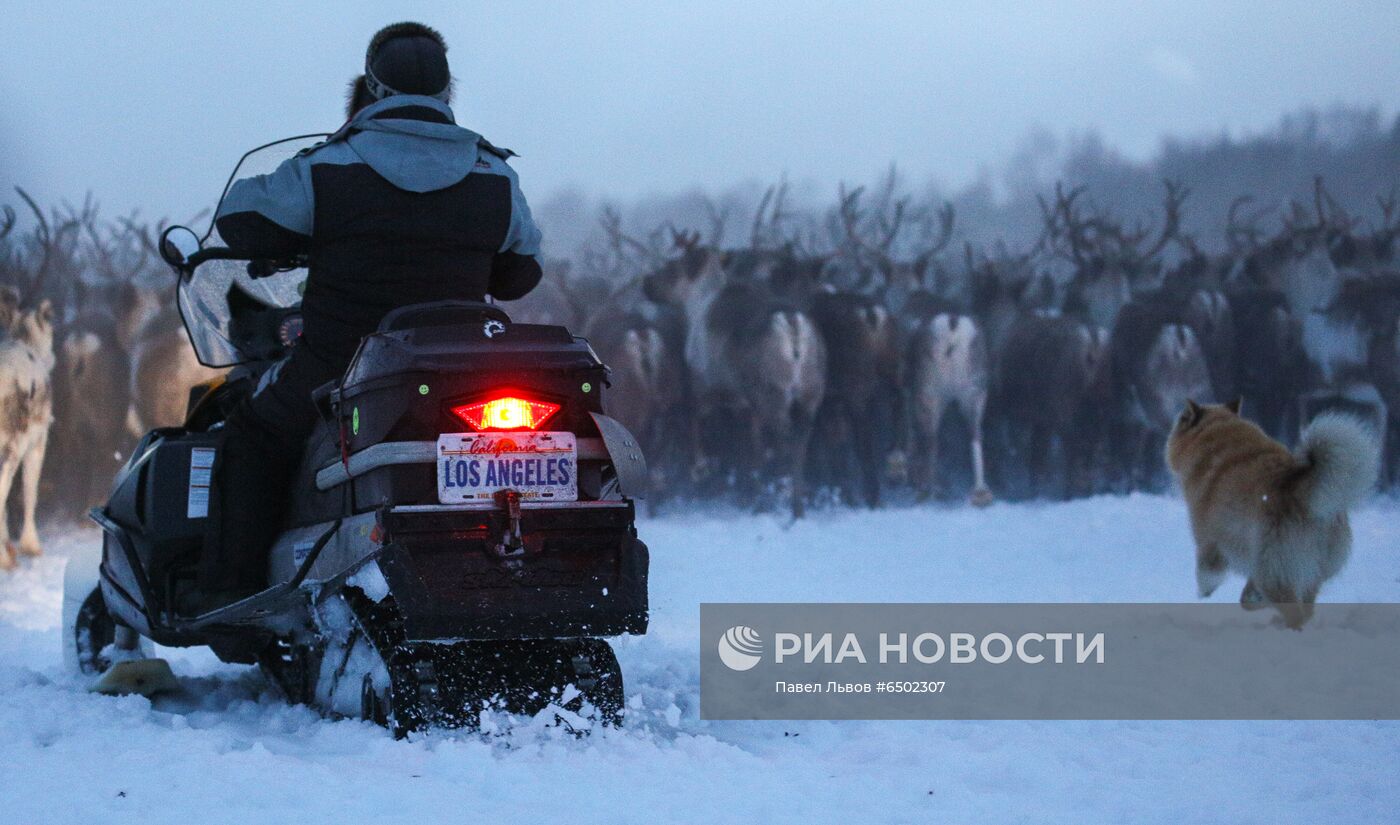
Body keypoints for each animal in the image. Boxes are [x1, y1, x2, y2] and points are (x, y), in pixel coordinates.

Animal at [1164, 397, 1383, 624]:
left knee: (1294, 613)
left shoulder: (1209, 548)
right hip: (1305, 574)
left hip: (1274, 571)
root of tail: (1307, 495)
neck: (1217, 433)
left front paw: (1202, 601)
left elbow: (1206, 583)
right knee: (1302, 609)